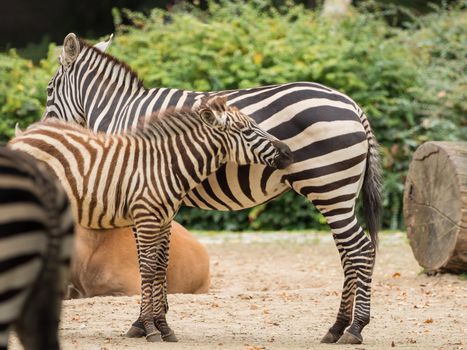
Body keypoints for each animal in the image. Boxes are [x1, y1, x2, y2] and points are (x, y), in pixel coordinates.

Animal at [9, 95, 294, 342]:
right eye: (246, 131)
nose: (289, 152)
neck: (165, 165)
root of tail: (18, 140)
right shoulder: (146, 217)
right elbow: (146, 269)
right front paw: (149, 328)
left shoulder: (164, 219)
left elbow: (159, 268)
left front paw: (163, 327)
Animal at [42, 32, 382, 344]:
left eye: (48, 89)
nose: (43, 128)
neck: (121, 111)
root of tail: (353, 105)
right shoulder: (160, 198)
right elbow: (162, 259)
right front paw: (159, 321)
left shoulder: (143, 194)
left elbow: (147, 260)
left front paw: (143, 323)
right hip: (340, 194)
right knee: (350, 253)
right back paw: (337, 327)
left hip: (329, 187)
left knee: (360, 249)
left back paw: (354, 328)